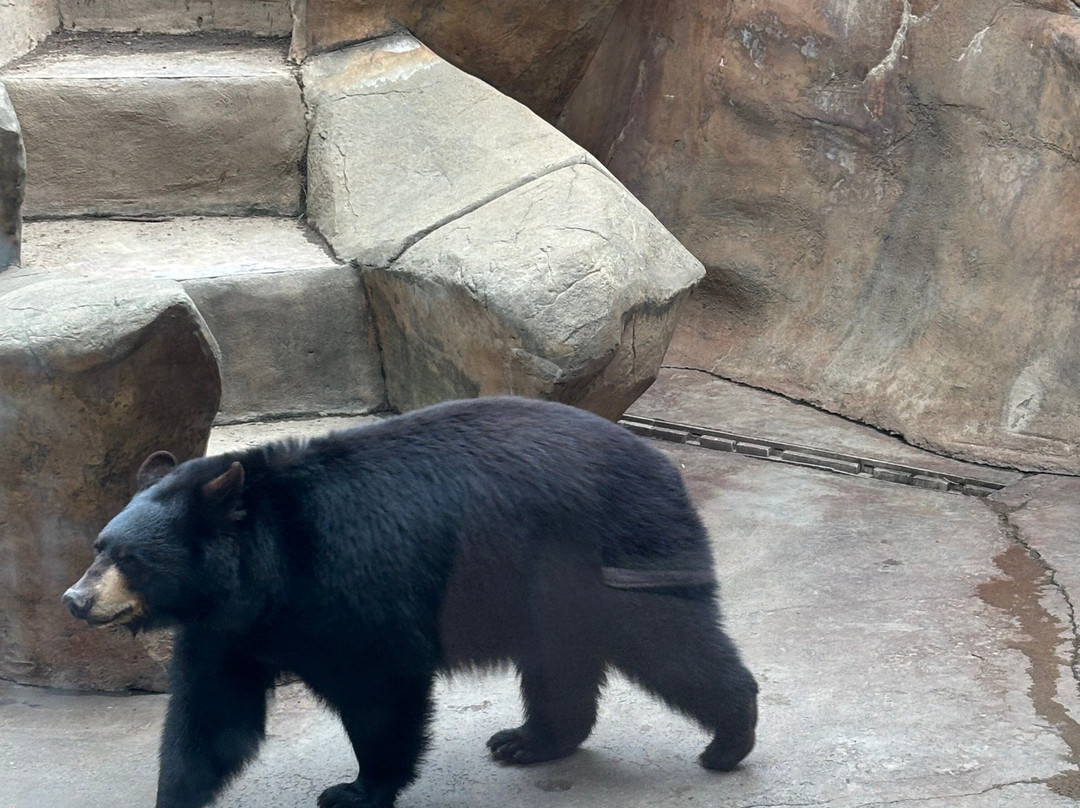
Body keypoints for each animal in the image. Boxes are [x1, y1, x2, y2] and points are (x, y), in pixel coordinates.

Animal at [63, 396, 758, 808]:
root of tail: (659, 461)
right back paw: (529, 740)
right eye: (99, 545)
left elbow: (380, 689)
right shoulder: (232, 630)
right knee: (561, 662)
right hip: (550, 586)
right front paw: (174, 795)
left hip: (611, 556)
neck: (262, 572)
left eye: (133, 559)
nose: (76, 599)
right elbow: (211, 716)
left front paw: (356, 790)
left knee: (670, 642)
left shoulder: (348, 587)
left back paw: (729, 739)